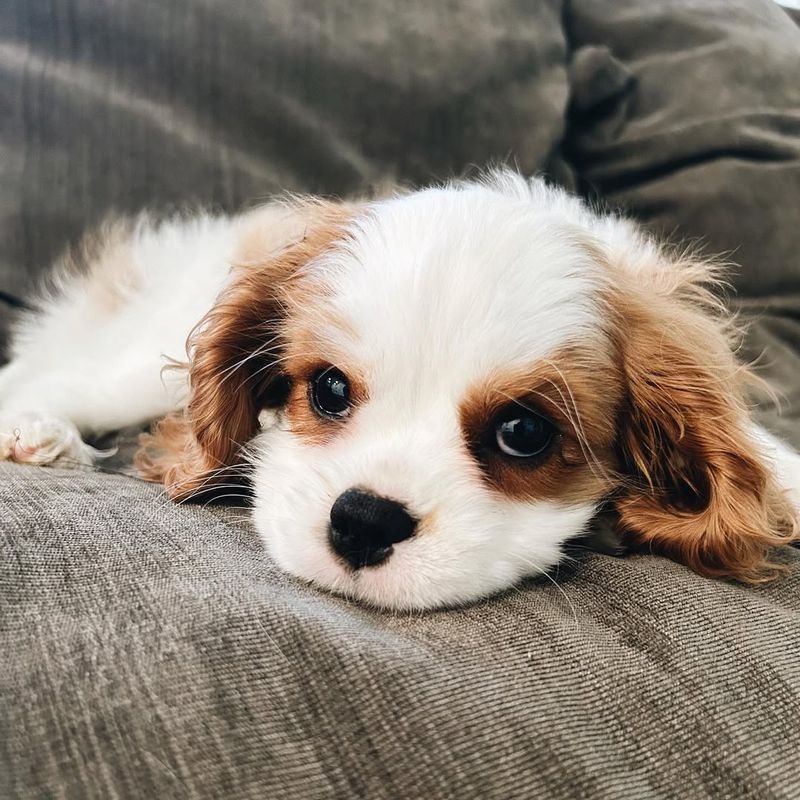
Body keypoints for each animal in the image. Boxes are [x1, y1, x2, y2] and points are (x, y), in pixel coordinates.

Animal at [1, 170, 800, 608]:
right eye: (328, 389)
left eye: (524, 432)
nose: (364, 521)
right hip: (146, 345)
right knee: (52, 372)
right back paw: (40, 430)